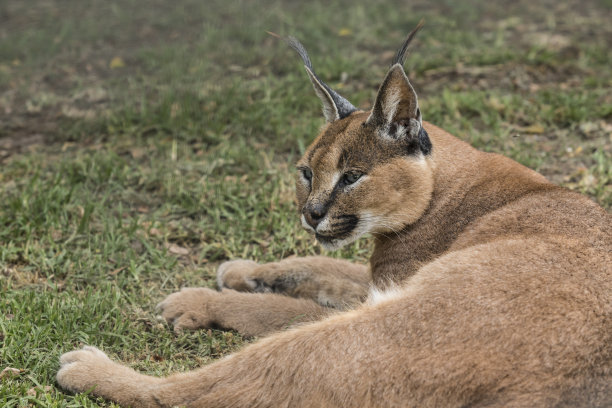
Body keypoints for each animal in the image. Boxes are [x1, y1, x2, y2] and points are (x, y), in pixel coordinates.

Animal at [56, 23, 608, 408]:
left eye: (351, 177)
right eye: (306, 171)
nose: (312, 213)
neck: (446, 187)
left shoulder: (384, 294)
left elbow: (279, 308)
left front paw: (201, 298)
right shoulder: (378, 279)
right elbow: (325, 265)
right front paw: (245, 271)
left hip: (374, 336)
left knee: (206, 391)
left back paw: (89, 368)